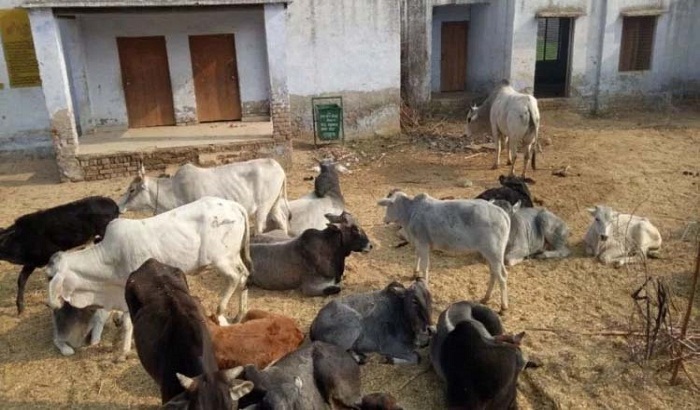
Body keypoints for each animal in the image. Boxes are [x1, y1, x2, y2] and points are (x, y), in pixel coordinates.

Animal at [45, 197, 252, 360]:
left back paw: (221, 310)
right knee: (245, 276)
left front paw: (123, 353)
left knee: (234, 278)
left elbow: (128, 324)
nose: (49, 304)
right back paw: (240, 313)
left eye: (49, 277)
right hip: (233, 257)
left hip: (221, 259)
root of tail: (233, 205)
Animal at [117, 159, 290, 235]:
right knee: (282, 220)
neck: (175, 190)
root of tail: (277, 165)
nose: (119, 206)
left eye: (132, 189)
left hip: (263, 207)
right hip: (274, 204)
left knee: (261, 225)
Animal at [380, 191, 512, 312]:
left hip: (494, 252)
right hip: (489, 253)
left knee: (502, 277)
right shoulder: (418, 243)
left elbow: (424, 266)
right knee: (494, 273)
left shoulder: (423, 243)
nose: (384, 219)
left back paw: (503, 306)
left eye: (389, 205)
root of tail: (502, 213)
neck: (410, 213)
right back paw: (486, 298)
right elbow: (417, 256)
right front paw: (414, 273)